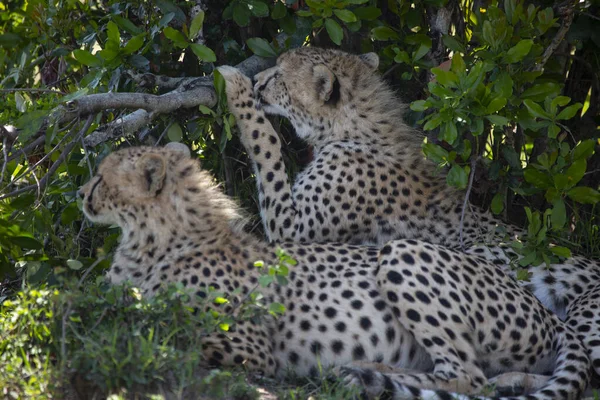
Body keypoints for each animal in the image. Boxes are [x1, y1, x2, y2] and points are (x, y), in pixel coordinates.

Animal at [79, 145, 592, 400]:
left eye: (101, 178)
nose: (82, 192)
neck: (156, 235)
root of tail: (544, 307)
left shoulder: (249, 347)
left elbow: (161, 325)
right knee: (497, 377)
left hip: (402, 250)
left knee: (467, 376)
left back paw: (369, 375)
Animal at [218, 47, 600, 382]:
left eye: (280, 75)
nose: (257, 80)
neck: (354, 126)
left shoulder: (290, 229)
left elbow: (266, 144)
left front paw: (236, 88)